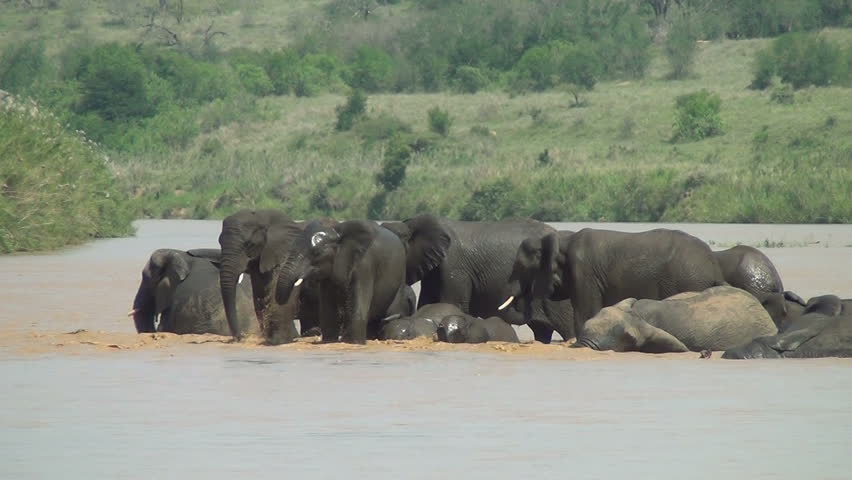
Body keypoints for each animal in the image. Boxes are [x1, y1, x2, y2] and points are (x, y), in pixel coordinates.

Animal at [218, 209, 335, 344]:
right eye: (219, 242)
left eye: (249, 244)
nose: (240, 337)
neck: (264, 217)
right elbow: (260, 296)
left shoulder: (285, 253)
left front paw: (280, 340)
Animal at [276, 220, 409, 344]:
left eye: (316, 253)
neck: (337, 233)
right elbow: (327, 305)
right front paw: (329, 341)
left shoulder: (365, 263)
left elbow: (359, 299)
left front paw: (355, 343)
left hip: (400, 276)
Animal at [506, 228, 727, 335]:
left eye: (521, 267)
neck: (563, 238)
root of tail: (714, 267)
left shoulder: (584, 273)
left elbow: (586, 313)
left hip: (686, 281)